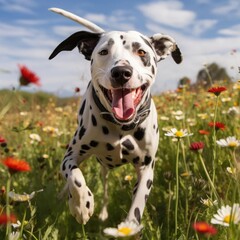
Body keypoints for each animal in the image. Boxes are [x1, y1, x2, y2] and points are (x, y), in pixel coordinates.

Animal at [48, 7, 182, 227]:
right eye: (103, 52)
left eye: (141, 52)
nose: (121, 72)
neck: (122, 127)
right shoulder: (71, 155)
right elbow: (75, 176)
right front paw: (81, 204)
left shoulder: (146, 169)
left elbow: (137, 206)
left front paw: (129, 227)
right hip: (103, 166)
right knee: (102, 186)